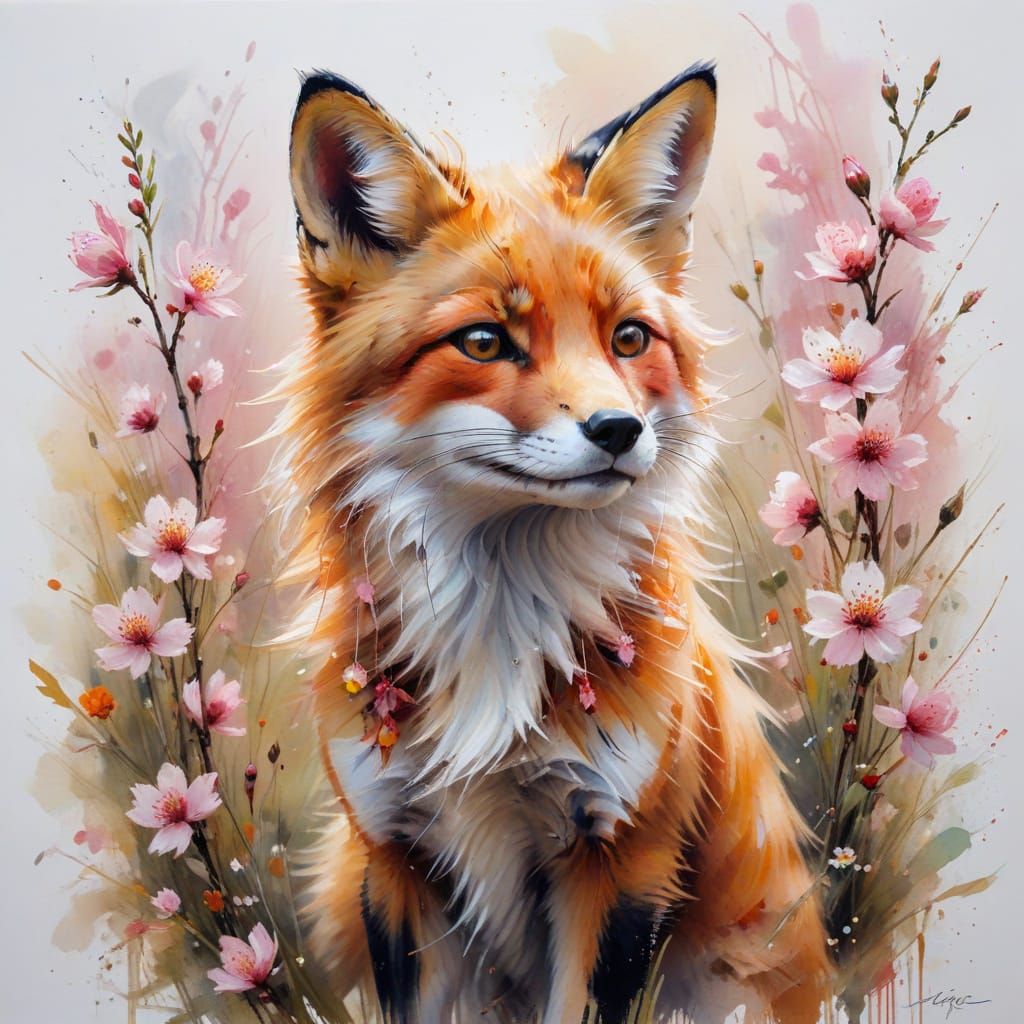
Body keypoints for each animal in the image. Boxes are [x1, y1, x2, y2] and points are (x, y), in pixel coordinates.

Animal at [272, 61, 830, 1023]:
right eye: (485, 341)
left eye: (629, 337)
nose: (618, 430)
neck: (500, 628)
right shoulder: (395, 854)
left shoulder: (621, 855)